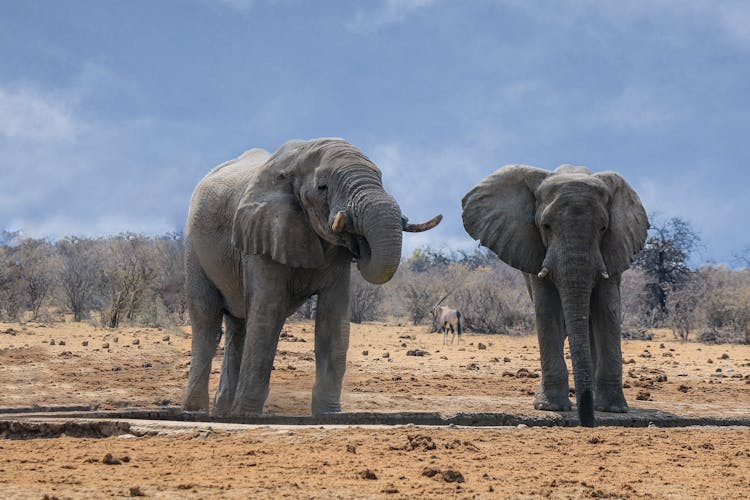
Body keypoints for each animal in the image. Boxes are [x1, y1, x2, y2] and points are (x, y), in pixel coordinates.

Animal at [184, 138, 440, 418]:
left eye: (381, 179)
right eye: (322, 187)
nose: (358, 240)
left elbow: (333, 320)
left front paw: (329, 415)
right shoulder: (261, 234)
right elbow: (268, 312)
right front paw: (247, 415)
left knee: (237, 327)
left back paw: (223, 412)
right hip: (193, 247)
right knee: (207, 322)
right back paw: (197, 411)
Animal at [462, 164, 648, 426]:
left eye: (603, 228)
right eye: (546, 226)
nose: (587, 422)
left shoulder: (613, 247)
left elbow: (607, 310)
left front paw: (614, 410)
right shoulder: (534, 249)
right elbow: (548, 310)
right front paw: (550, 407)